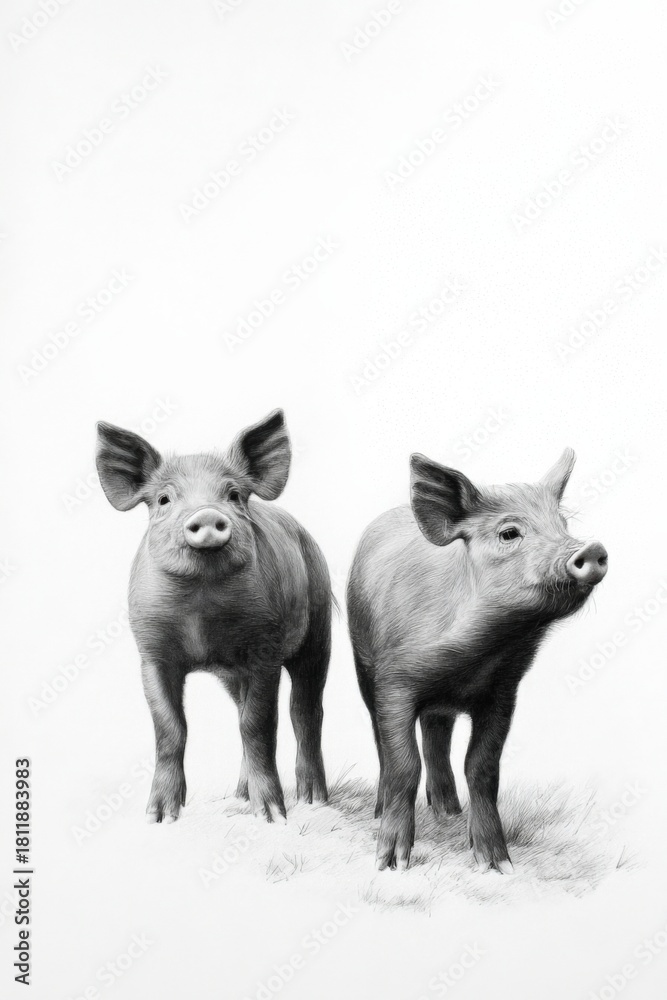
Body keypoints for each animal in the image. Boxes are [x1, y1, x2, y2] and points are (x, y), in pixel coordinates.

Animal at [96, 409, 331, 824]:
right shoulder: (151, 653)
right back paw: (240, 795)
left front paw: (273, 817)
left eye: (234, 495)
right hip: (233, 674)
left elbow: (259, 725)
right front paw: (159, 817)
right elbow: (170, 727)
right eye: (164, 499)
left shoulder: (265, 652)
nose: (207, 515)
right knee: (244, 711)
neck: (201, 609)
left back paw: (313, 800)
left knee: (305, 711)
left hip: (318, 634)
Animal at [347, 449, 608, 872]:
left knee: (437, 732)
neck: (475, 659)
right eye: (509, 533)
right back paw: (383, 811)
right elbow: (403, 764)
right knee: (385, 743)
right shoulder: (394, 683)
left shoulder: (502, 692)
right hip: (361, 665)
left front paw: (497, 864)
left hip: (436, 708)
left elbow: (482, 766)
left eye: (563, 524)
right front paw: (391, 863)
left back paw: (448, 812)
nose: (591, 549)